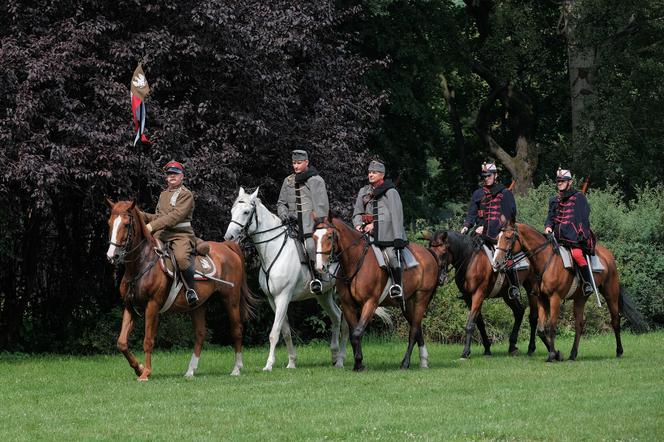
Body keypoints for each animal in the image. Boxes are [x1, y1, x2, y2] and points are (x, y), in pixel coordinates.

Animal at [105, 199, 258, 378]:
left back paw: (236, 368)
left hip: (231, 300)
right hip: (198, 306)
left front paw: (146, 372)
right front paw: (139, 368)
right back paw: (190, 371)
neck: (142, 264)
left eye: (127, 224)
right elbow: (122, 342)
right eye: (110, 223)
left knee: (237, 330)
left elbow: (148, 340)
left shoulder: (152, 306)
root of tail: (227, 246)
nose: (112, 255)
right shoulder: (130, 307)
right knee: (200, 334)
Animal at [224, 186, 350, 370]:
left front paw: (269, 364)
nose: (229, 238)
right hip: (324, 296)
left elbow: (274, 332)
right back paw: (334, 355)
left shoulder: (283, 297)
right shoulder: (273, 300)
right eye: (233, 211)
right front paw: (291, 362)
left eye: (246, 212)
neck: (274, 250)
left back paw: (341, 359)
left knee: (346, 322)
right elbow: (285, 331)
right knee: (336, 317)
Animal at [312, 216, 440, 372]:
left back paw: (405, 363)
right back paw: (423, 361)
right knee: (417, 327)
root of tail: (428, 252)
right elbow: (354, 334)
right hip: (408, 302)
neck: (355, 262)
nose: (320, 267)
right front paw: (358, 363)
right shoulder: (348, 306)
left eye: (330, 236)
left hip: (421, 298)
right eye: (314, 237)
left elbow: (357, 333)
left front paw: (359, 363)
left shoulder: (370, 303)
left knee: (414, 330)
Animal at [422, 231, 544, 360]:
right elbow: (479, 323)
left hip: (531, 289)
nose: (438, 278)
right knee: (519, 312)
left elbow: (470, 324)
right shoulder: (468, 298)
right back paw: (512, 347)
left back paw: (531, 348)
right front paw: (487, 349)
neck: (469, 260)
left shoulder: (478, 295)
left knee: (533, 317)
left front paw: (465, 352)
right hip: (506, 294)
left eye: (444, 252)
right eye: (431, 251)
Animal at [492, 223, 644, 360]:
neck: (546, 262)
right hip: (580, 298)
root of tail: (608, 255)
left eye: (508, 238)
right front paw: (557, 353)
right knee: (579, 324)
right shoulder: (542, 299)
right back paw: (573, 354)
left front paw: (552, 355)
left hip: (610, 294)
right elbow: (541, 330)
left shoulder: (555, 298)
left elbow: (552, 327)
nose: (496, 263)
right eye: (497, 238)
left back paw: (619, 351)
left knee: (615, 321)